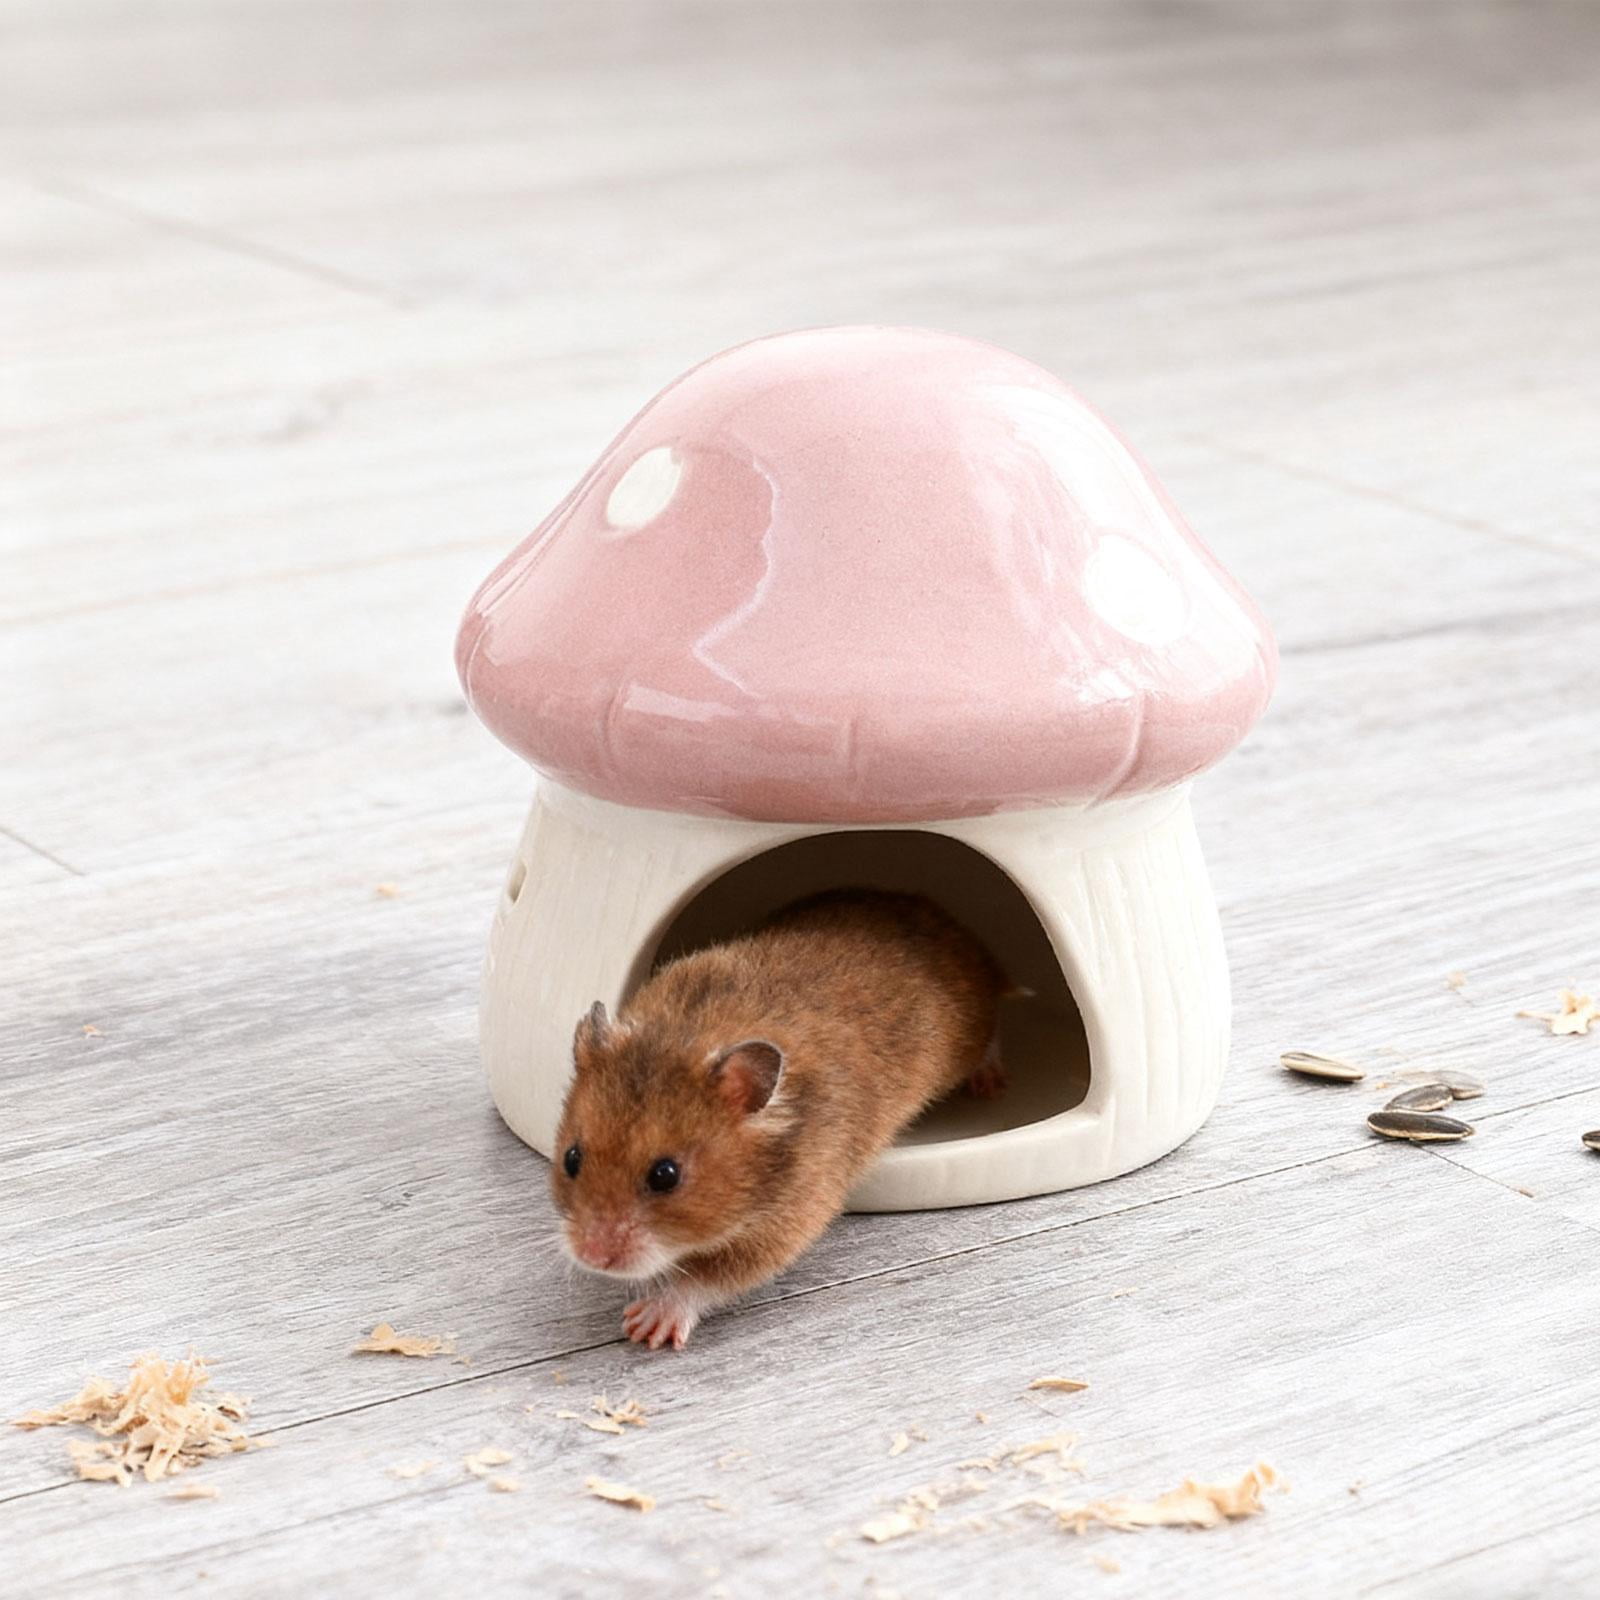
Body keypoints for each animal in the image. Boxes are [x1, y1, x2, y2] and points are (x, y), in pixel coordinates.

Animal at [550, 888, 1009, 1349]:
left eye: (665, 1175)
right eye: (571, 1159)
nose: (593, 1256)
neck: (687, 1034)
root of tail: (942, 917)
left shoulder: (792, 1214)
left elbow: (709, 1278)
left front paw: (644, 1326)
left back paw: (990, 1081)